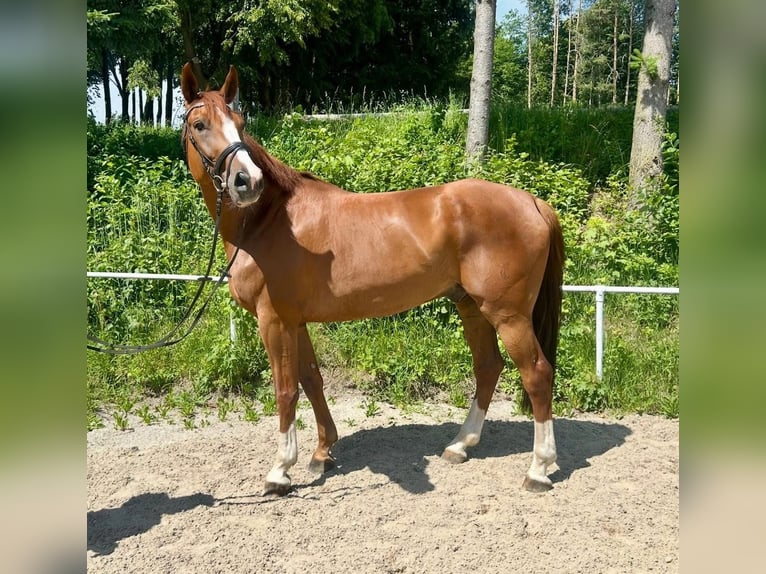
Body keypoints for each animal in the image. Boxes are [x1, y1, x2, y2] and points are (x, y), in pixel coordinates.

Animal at [180, 63, 564, 496]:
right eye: (199, 124)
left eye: (240, 123)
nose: (248, 181)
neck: (269, 220)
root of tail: (534, 202)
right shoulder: (296, 321)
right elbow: (312, 380)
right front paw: (322, 453)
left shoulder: (274, 321)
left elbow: (285, 389)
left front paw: (280, 470)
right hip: (472, 307)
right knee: (488, 367)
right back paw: (460, 445)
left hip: (508, 315)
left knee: (536, 374)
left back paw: (538, 468)